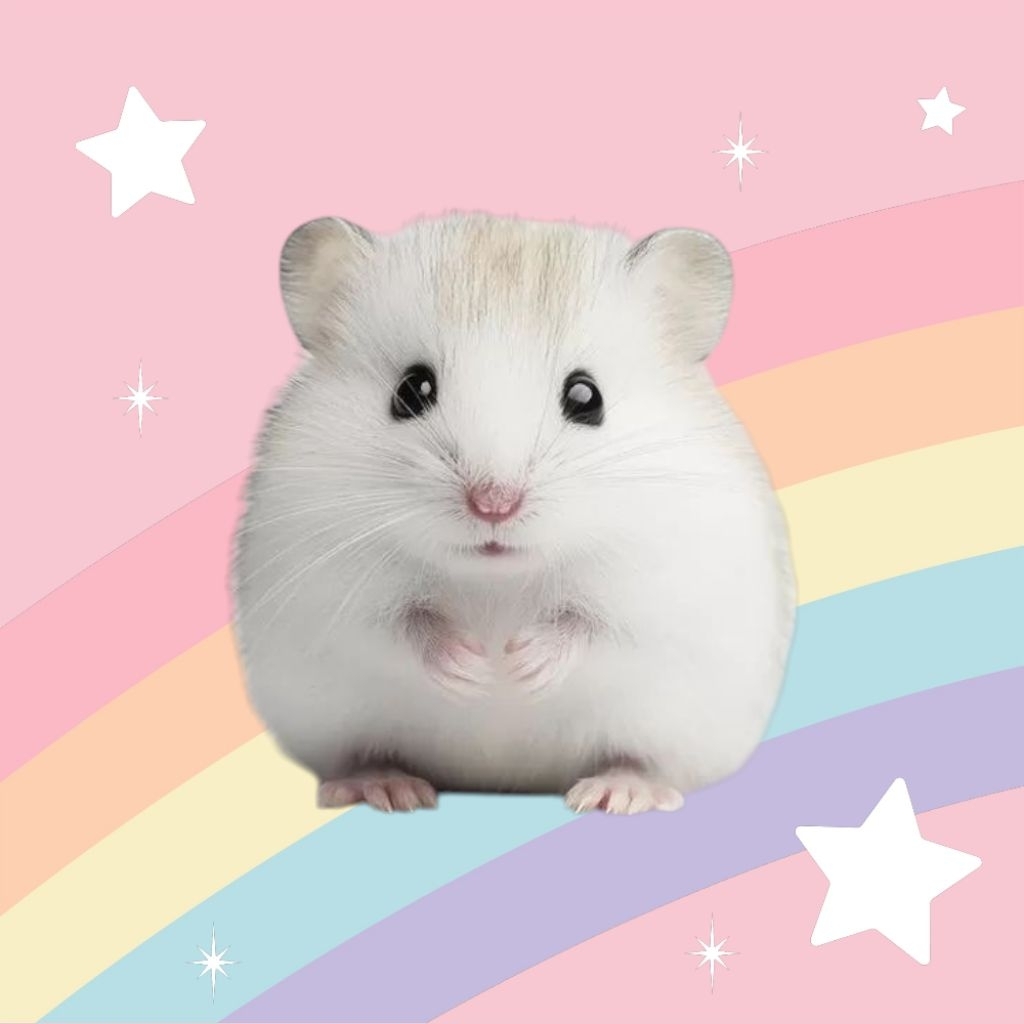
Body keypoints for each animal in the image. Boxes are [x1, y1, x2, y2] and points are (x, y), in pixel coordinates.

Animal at [231, 212, 796, 815]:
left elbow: (591, 626)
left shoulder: (658, 586)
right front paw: (476, 669)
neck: (496, 578)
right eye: (411, 390)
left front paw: (518, 665)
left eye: (586, 396)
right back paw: (386, 786)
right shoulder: (328, 585)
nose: (493, 504)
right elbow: (402, 625)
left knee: (644, 761)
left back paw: (616, 793)